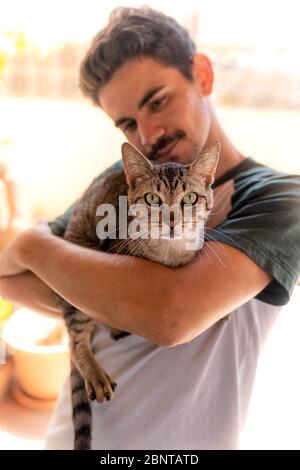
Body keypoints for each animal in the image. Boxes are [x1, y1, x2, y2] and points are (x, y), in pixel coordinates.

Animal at [52, 141, 219, 450]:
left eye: (190, 198)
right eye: (153, 198)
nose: (171, 221)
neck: (169, 254)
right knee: (76, 339)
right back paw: (95, 372)